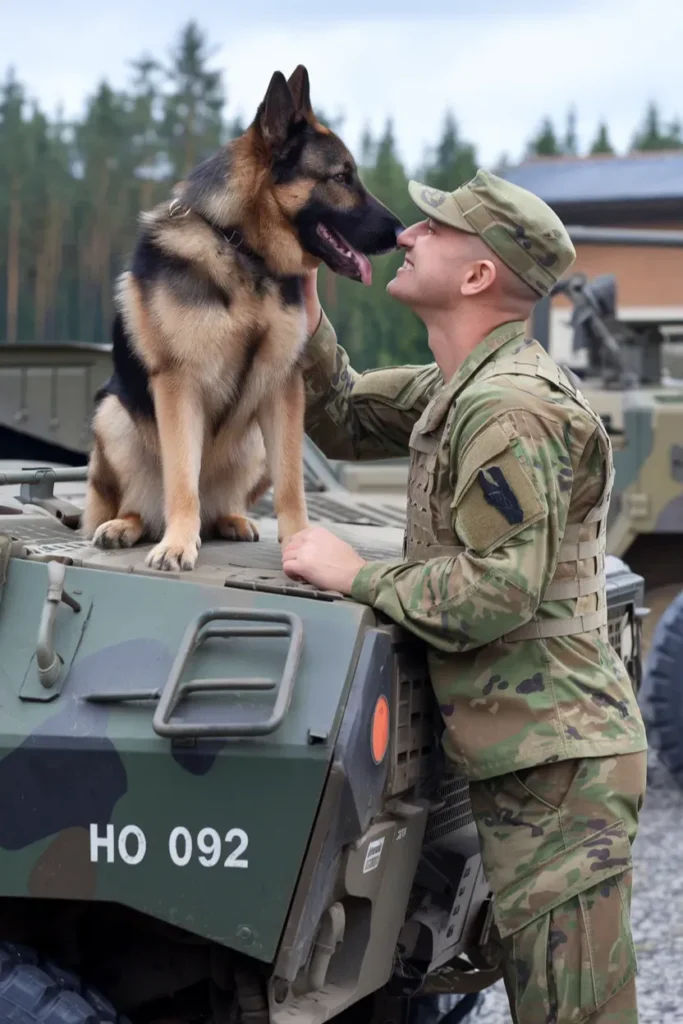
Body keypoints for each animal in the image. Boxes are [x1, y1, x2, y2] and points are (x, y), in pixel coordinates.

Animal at [81, 67, 401, 573]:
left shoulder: (284, 389)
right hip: (113, 418)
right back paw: (125, 526)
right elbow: (181, 481)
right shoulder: (178, 386)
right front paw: (177, 544)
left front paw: (301, 542)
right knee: (145, 503)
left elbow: (292, 483)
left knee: (220, 505)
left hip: (254, 442)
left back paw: (229, 519)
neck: (242, 248)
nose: (401, 231)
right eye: (341, 177)